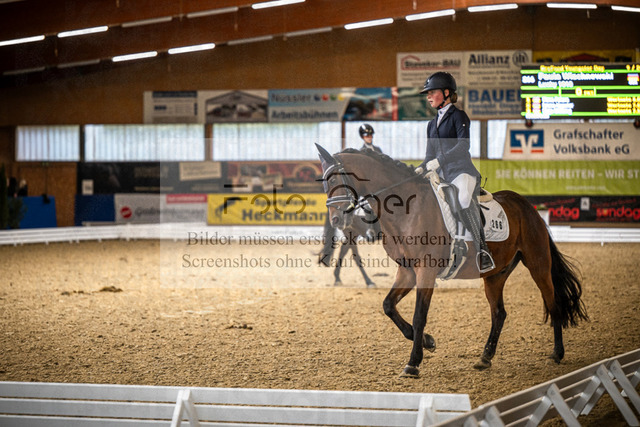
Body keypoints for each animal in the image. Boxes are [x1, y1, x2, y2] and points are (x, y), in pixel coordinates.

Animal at [316, 144, 588, 378]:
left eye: (334, 180)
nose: (337, 219)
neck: (407, 209)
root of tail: (528, 206)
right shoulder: (407, 272)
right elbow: (388, 306)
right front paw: (427, 341)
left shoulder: (425, 271)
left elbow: (419, 315)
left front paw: (413, 362)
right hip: (495, 274)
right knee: (499, 313)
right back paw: (485, 357)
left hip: (538, 264)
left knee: (552, 302)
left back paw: (557, 353)